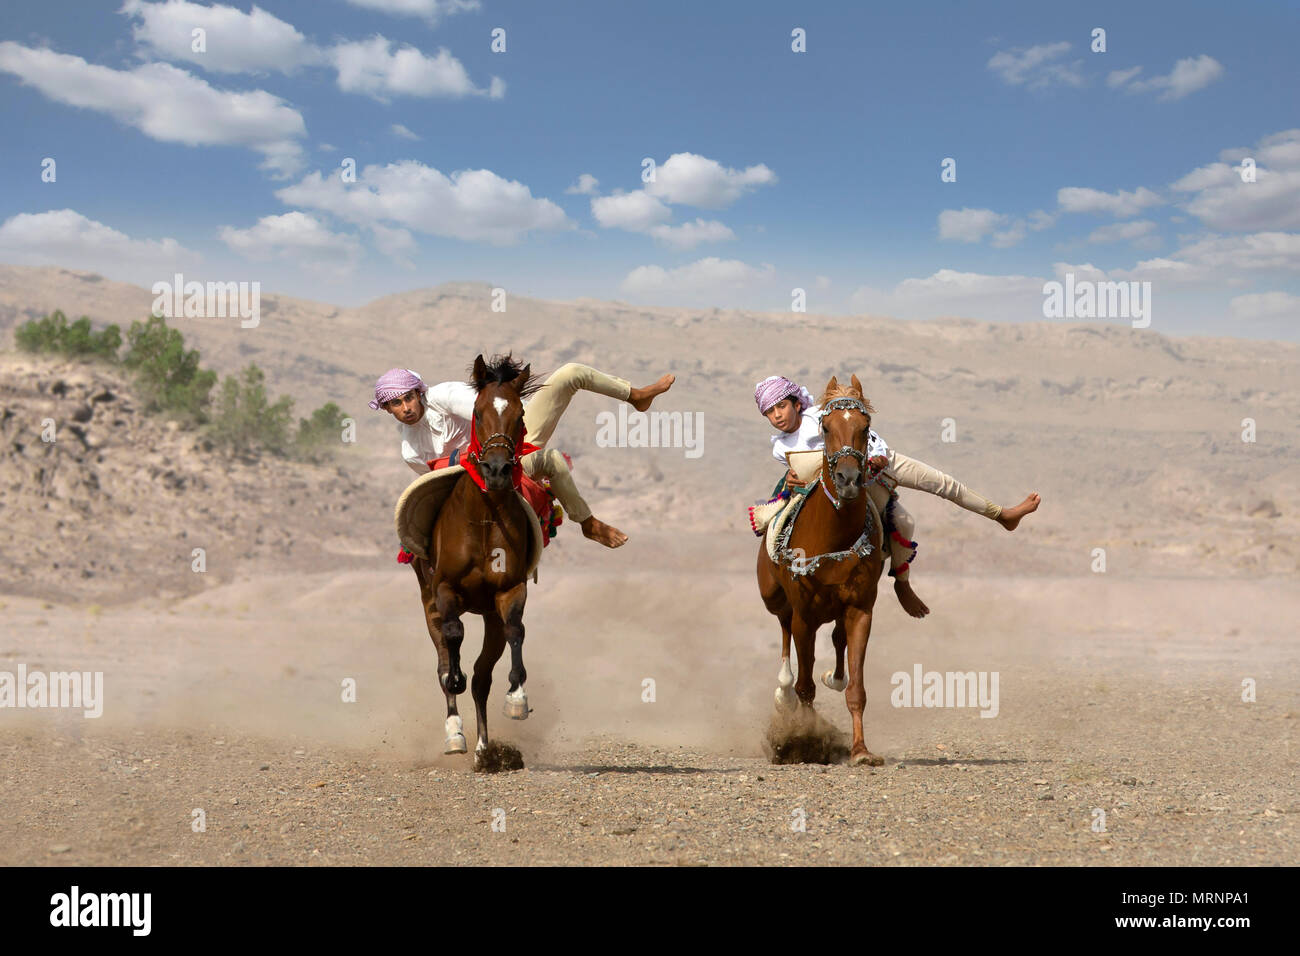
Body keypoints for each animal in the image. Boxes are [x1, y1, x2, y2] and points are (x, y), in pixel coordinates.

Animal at [410, 356, 543, 764]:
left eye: (519, 414)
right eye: (478, 412)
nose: (497, 470)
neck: (483, 520)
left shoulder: (509, 590)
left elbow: (517, 630)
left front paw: (517, 698)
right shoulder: (444, 589)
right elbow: (453, 639)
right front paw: (455, 679)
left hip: (489, 617)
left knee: (483, 677)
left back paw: (486, 748)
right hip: (428, 600)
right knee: (442, 656)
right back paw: (456, 732)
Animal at [759, 374, 889, 770]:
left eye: (865, 427)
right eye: (827, 427)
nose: (848, 479)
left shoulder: (861, 609)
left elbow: (857, 688)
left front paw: (861, 751)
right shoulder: (805, 615)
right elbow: (805, 686)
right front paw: (802, 742)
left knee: (836, 641)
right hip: (777, 600)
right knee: (784, 632)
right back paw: (783, 694)